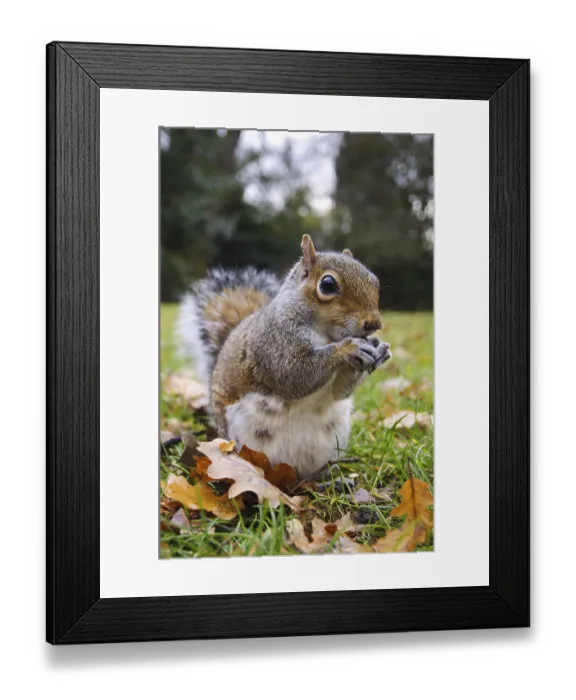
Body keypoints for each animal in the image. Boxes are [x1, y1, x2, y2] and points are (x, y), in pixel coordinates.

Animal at [176, 234, 392, 480]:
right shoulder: (273, 341)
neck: (325, 333)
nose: (374, 324)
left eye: (375, 282)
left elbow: (339, 392)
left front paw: (379, 350)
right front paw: (348, 348)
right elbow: (292, 375)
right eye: (328, 285)